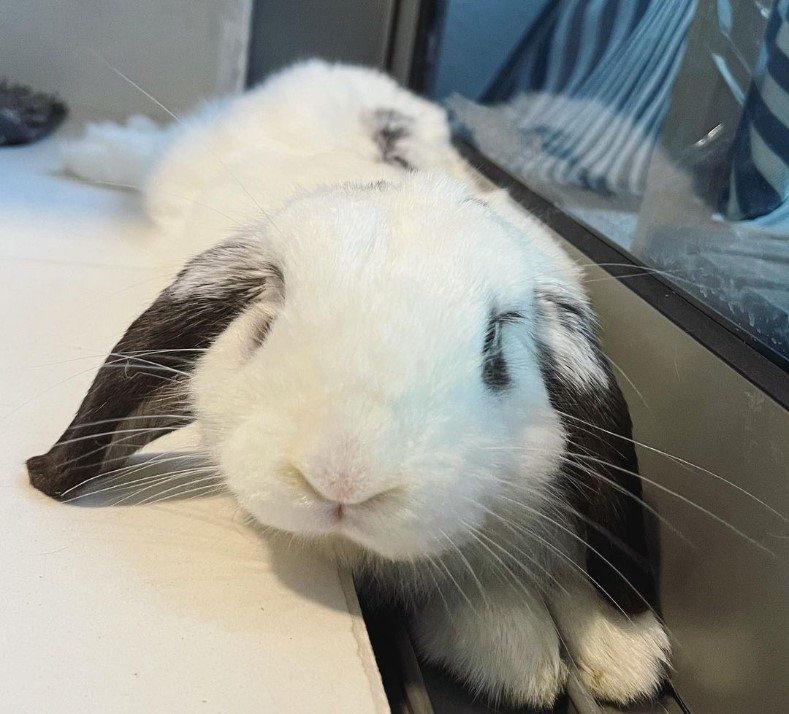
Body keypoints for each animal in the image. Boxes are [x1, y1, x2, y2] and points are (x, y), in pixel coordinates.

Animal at [29, 60, 669, 709]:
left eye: (495, 350)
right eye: (266, 324)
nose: (343, 478)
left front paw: (624, 656)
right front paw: (520, 656)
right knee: (148, 149)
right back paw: (90, 148)